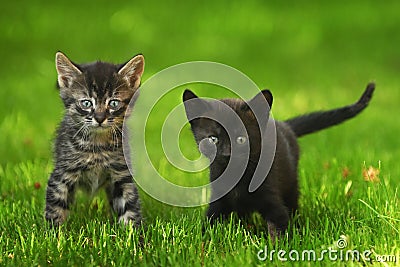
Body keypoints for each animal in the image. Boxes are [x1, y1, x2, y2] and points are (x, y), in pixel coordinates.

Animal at [44, 51, 145, 226]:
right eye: (86, 103)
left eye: (113, 103)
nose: (99, 118)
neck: (98, 145)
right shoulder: (62, 173)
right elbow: (56, 206)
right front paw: (53, 232)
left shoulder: (122, 173)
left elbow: (129, 206)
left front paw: (133, 232)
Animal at [183, 82, 376, 240]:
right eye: (213, 139)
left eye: (241, 139)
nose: (227, 154)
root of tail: (284, 125)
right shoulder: (217, 203)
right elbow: (209, 226)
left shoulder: (274, 204)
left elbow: (278, 229)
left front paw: (277, 253)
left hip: (291, 185)